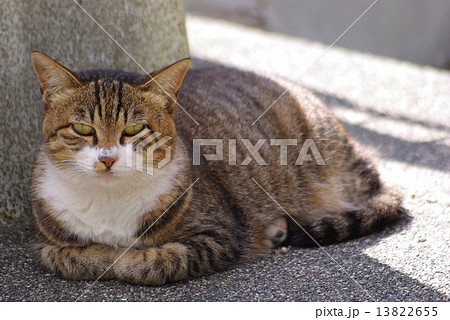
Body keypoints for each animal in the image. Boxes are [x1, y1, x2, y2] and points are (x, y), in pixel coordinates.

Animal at [29, 52, 406, 284]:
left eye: (134, 129)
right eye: (83, 128)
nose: (107, 158)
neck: (109, 200)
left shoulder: (220, 234)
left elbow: (154, 260)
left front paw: (120, 257)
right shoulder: (47, 238)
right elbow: (63, 255)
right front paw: (95, 254)